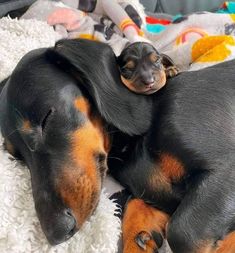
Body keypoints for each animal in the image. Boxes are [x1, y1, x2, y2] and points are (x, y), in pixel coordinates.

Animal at [0, 38, 235, 253]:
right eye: (17, 157)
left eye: (46, 118)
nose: (56, 233)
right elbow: (134, 206)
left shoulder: (225, 171)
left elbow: (182, 233)